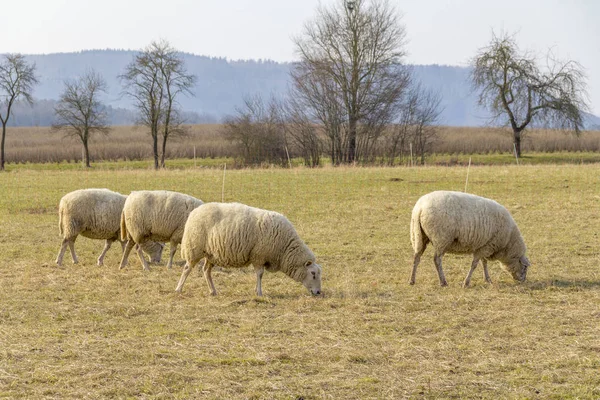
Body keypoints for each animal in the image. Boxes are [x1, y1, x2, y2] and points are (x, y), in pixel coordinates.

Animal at [175, 202, 324, 296]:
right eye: (313, 274)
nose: (318, 292)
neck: (285, 248)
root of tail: (194, 212)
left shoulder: (259, 257)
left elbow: (259, 275)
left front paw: (256, 290)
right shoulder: (259, 255)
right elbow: (260, 274)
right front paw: (259, 292)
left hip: (211, 254)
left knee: (206, 271)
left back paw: (213, 291)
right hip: (194, 248)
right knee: (187, 268)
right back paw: (178, 289)